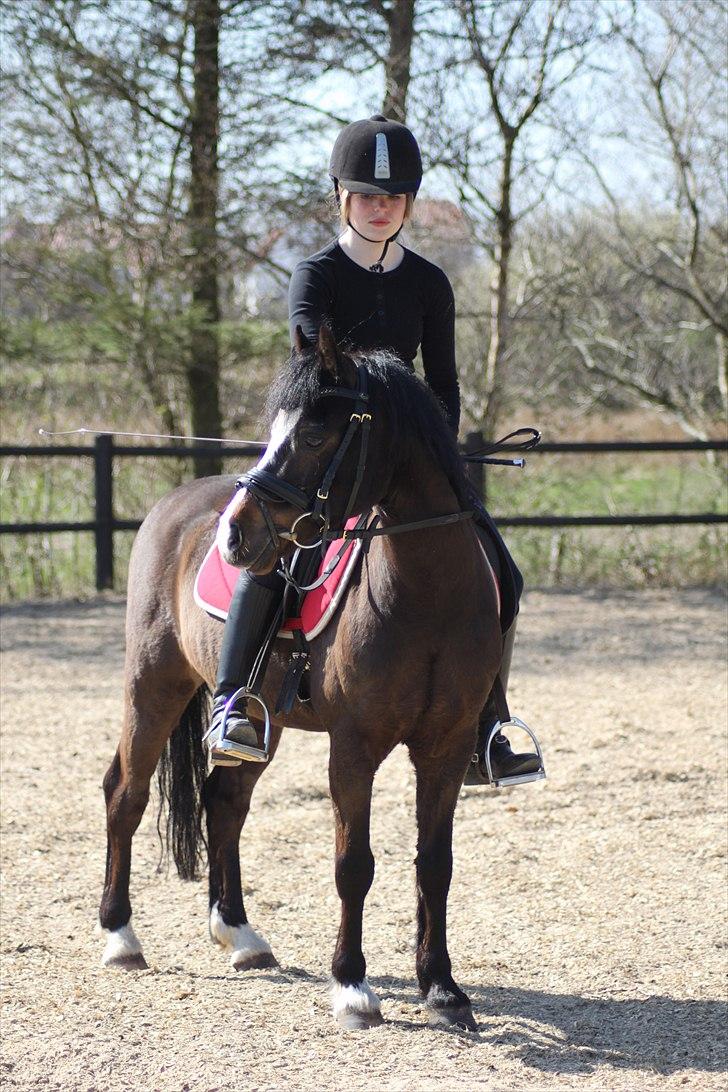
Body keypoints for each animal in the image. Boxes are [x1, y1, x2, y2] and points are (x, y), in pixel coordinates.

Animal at [98, 324, 503, 1031]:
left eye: (314, 436)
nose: (236, 533)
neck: (429, 595)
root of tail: (176, 502)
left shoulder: (447, 746)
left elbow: (435, 863)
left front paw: (442, 988)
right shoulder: (356, 745)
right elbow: (353, 864)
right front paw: (352, 987)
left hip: (264, 717)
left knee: (225, 802)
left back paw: (239, 934)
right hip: (153, 685)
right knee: (126, 792)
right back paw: (121, 937)